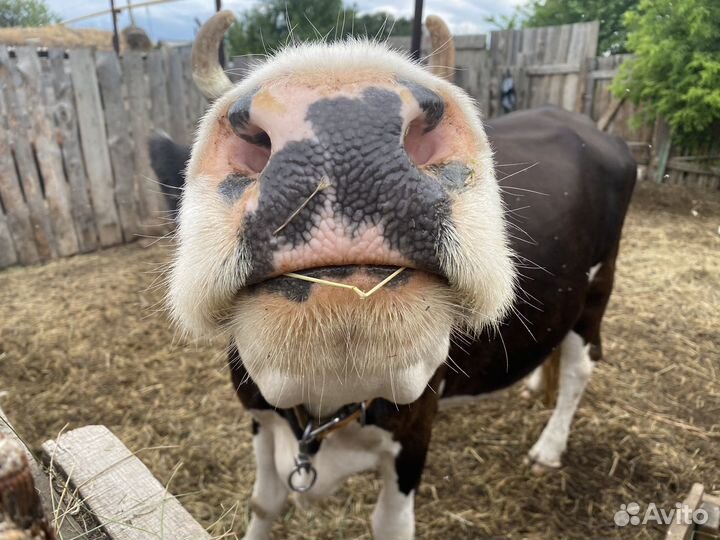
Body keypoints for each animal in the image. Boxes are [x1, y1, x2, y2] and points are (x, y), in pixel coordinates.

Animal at [149, 12, 636, 540]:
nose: (347, 125)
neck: (327, 403)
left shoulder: (417, 428)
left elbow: (390, 523)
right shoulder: (258, 413)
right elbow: (264, 502)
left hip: (598, 285)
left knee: (580, 366)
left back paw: (549, 447)